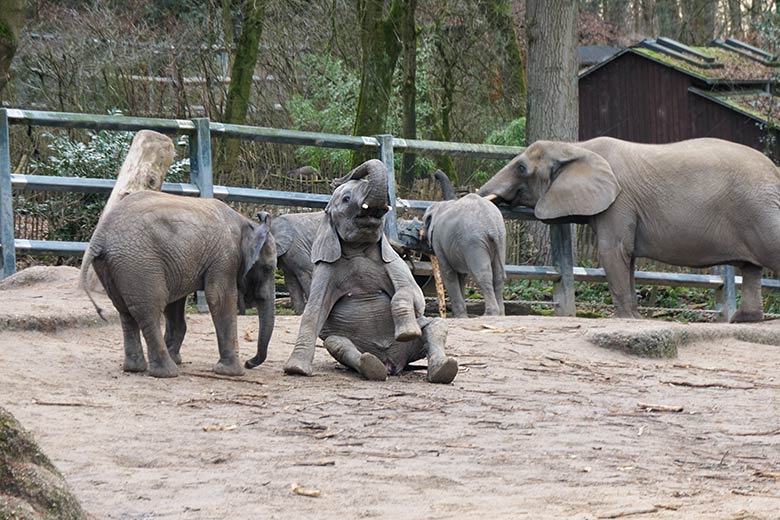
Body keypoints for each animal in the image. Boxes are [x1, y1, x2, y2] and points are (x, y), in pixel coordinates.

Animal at [80, 191, 276, 378]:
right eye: (268, 268)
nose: (249, 363)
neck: (247, 223)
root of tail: (100, 236)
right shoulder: (225, 258)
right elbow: (220, 298)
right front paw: (232, 372)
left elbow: (175, 304)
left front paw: (177, 357)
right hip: (138, 261)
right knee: (150, 309)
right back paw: (167, 372)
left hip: (116, 265)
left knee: (125, 311)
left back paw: (135, 368)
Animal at [272, 158, 458, 382]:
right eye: (346, 199)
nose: (336, 179)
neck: (358, 248)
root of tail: (394, 364)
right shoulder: (325, 268)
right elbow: (314, 310)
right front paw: (296, 370)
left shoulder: (393, 262)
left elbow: (413, 294)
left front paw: (407, 333)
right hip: (345, 344)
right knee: (336, 343)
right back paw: (372, 366)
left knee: (436, 326)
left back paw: (443, 369)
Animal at [420, 171, 506, 316]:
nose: (435, 173)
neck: (442, 206)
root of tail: (492, 226)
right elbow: (461, 276)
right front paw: (461, 315)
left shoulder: (439, 241)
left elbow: (448, 273)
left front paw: (459, 316)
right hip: (500, 238)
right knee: (498, 275)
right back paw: (500, 315)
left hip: (474, 242)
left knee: (482, 274)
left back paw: (489, 314)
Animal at [478, 136, 780, 320]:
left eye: (521, 167)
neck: (576, 146)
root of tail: (775, 171)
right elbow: (628, 257)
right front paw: (635, 317)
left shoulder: (619, 201)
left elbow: (613, 252)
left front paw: (625, 318)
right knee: (751, 269)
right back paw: (744, 320)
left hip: (760, 209)